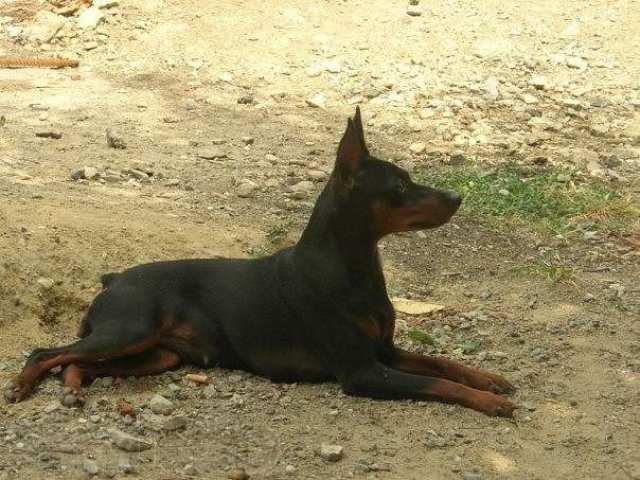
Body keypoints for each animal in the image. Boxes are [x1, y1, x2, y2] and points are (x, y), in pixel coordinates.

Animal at [5, 108, 516, 416]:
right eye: (400, 187)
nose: (457, 197)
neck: (352, 268)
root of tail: (113, 278)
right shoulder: (364, 371)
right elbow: (438, 384)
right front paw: (486, 401)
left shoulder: (384, 352)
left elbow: (442, 363)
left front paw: (487, 379)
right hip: (132, 328)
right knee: (46, 352)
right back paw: (22, 385)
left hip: (158, 354)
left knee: (80, 362)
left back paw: (73, 387)